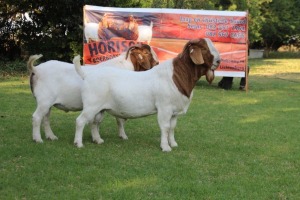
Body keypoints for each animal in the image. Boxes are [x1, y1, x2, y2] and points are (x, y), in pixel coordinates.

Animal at [28, 44, 159, 143]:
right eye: (147, 53)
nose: (158, 63)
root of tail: (36, 69)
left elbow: (97, 121)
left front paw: (95, 137)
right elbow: (119, 120)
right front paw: (123, 136)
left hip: (47, 103)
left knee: (45, 119)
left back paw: (51, 136)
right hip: (44, 100)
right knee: (37, 117)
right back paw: (37, 139)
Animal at [72, 38, 220, 152]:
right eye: (204, 48)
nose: (219, 61)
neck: (176, 76)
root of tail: (87, 75)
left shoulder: (174, 112)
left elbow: (172, 127)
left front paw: (173, 144)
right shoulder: (164, 108)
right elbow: (165, 127)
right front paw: (165, 147)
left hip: (100, 109)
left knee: (94, 122)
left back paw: (98, 140)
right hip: (91, 105)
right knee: (80, 121)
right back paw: (78, 143)